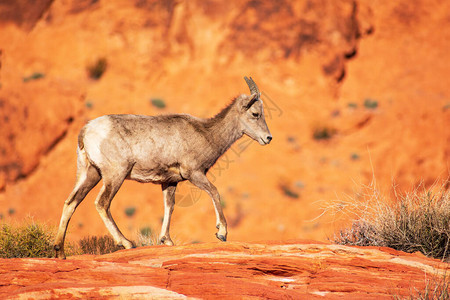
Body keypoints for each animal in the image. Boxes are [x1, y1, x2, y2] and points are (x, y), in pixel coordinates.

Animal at [52, 77, 270, 258]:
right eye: (255, 113)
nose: (268, 138)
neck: (206, 134)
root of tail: (86, 131)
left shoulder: (169, 182)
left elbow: (169, 206)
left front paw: (167, 241)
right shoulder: (194, 173)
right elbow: (215, 192)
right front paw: (222, 233)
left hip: (90, 173)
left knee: (71, 202)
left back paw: (59, 252)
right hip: (115, 175)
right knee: (102, 203)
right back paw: (127, 243)